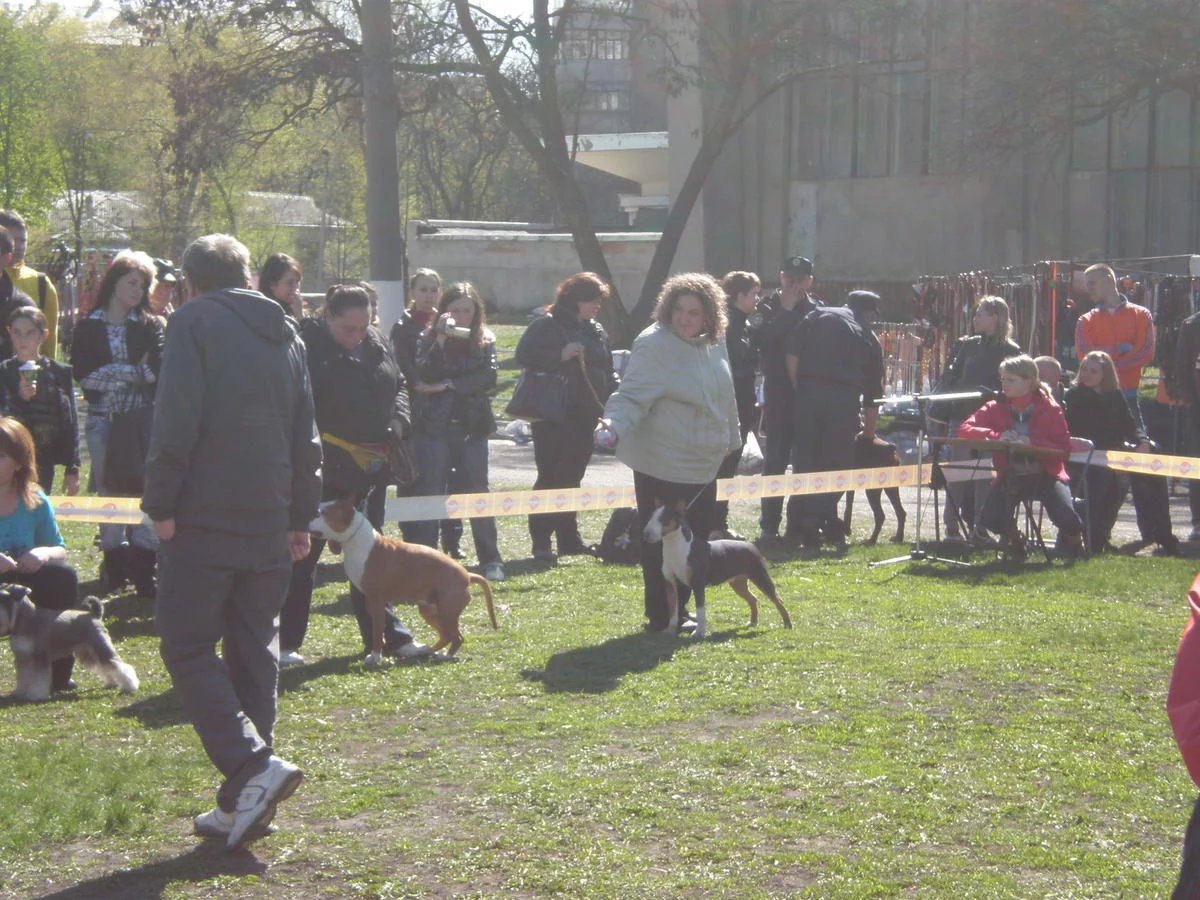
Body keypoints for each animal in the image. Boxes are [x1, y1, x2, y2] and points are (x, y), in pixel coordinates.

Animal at [0, 585, 139, 702]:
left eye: (4, 597)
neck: (26, 619)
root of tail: (94, 615)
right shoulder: (22, 658)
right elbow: (24, 677)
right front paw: (20, 692)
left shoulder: (39, 658)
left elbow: (38, 679)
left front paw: (35, 695)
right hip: (88, 652)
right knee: (104, 666)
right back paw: (111, 683)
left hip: (101, 647)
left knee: (117, 665)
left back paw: (130, 686)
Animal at [309, 498, 498, 662]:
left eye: (322, 513)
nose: (306, 518)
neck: (356, 540)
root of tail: (467, 575)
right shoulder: (370, 602)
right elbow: (377, 630)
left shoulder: (376, 601)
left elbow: (377, 631)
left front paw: (375, 656)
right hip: (429, 610)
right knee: (446, 635)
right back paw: (427, 651)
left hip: (447, 611)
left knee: (457, 637)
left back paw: (445, 656)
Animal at [642, 499, 792, 638]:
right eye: (651, 517)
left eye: (664, 519)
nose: (645, 534)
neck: (676, 547)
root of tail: (751, 546)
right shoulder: (670, 584)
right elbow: (673, 609)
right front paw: (670, 630)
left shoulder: (697, 584)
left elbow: (700, 610)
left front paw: (699, 633)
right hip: (738, 583)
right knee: (753, 599)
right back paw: (753, 622)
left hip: (760, 576)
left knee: (778, 600)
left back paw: (787, 624)